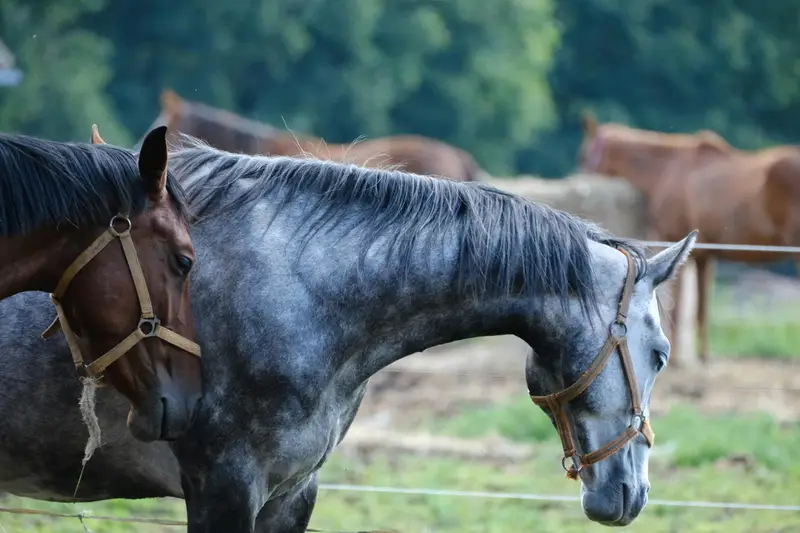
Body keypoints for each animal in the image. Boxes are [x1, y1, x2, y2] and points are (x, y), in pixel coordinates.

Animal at [576, 113, 800, 364]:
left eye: (583, 155)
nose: (578, 181)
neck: (670, 170)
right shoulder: (704, 257)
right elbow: (701, 311)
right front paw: (703, 357)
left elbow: (677, 309)